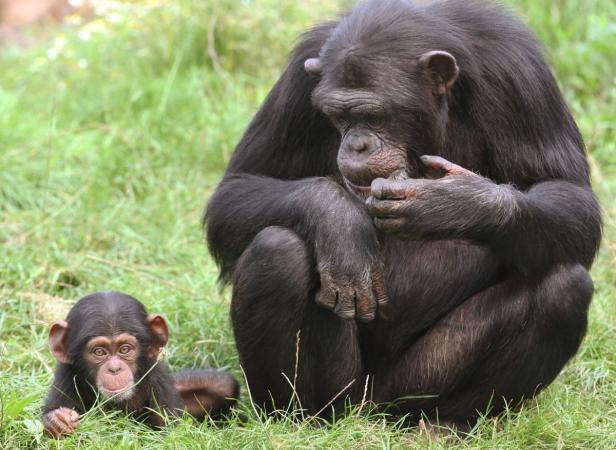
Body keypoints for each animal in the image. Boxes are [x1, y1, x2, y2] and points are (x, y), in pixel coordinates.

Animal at [42, 292, 239, 436]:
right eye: (99, 352)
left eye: (125, 349)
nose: (114, 368)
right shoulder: (65, 375)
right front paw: (57, 420)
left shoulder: (158, 377)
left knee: (224, 385)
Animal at [205, 0, 600, 426]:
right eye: (339, 116)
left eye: (375, 116)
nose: (357, 145)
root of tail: (372, 410)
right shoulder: (299, 77)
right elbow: (238, 188)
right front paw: (340, 224)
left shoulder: (521, 73)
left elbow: (569, 194)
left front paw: (452, 203)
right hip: (345, 391)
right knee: (276, 251)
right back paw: (298, 420)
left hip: (411, 387)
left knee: (565, 288)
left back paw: (444, 424)